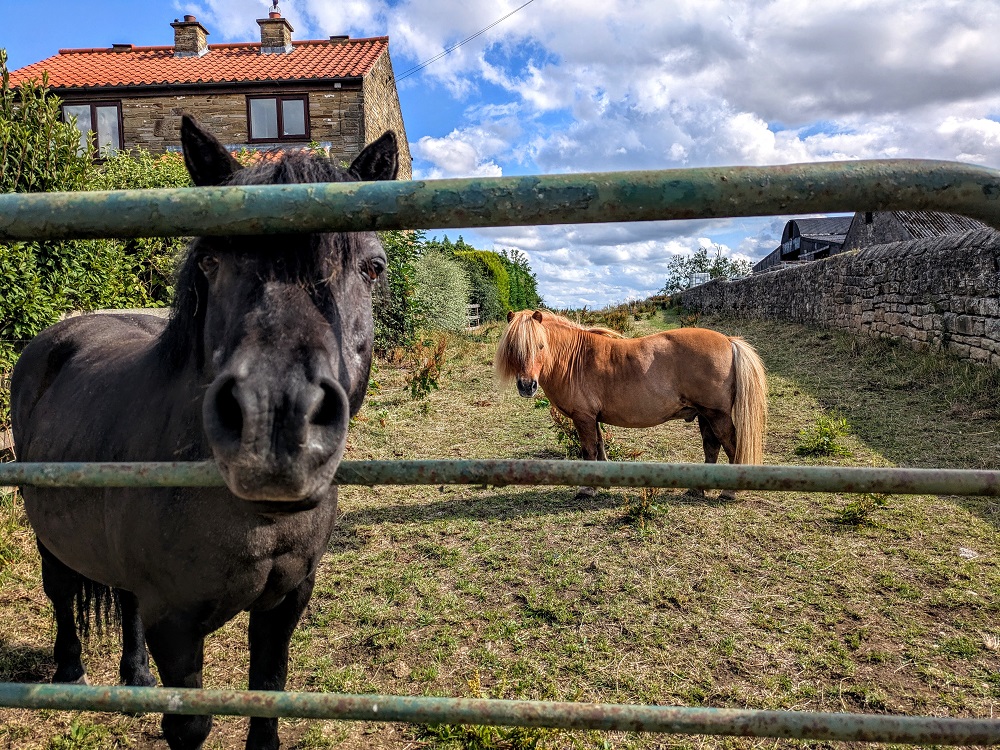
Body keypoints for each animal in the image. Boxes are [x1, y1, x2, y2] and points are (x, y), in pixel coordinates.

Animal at [10, 115, 399, 750]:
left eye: (371, 267)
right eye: (212, 262)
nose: (275, 419)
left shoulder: (285, 603)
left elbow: (268, 694)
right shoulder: (176, 622)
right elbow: (189, 724)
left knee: (124, 599)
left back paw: (136, 676)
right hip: (48, 532)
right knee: (61, 590)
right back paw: (71, 669)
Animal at [494, 310, 767, 500]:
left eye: (540, 345)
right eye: (513, 348)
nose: (527, 386)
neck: (575, 358)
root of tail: (728, 340)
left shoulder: (583, 417)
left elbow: (588, 450)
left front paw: (586, 489)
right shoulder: (593, 418)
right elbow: (599, 447)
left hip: (717, 415)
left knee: (730, 445)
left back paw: (729, 492)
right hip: (705, 414)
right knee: (711, 447)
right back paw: (697, 489)